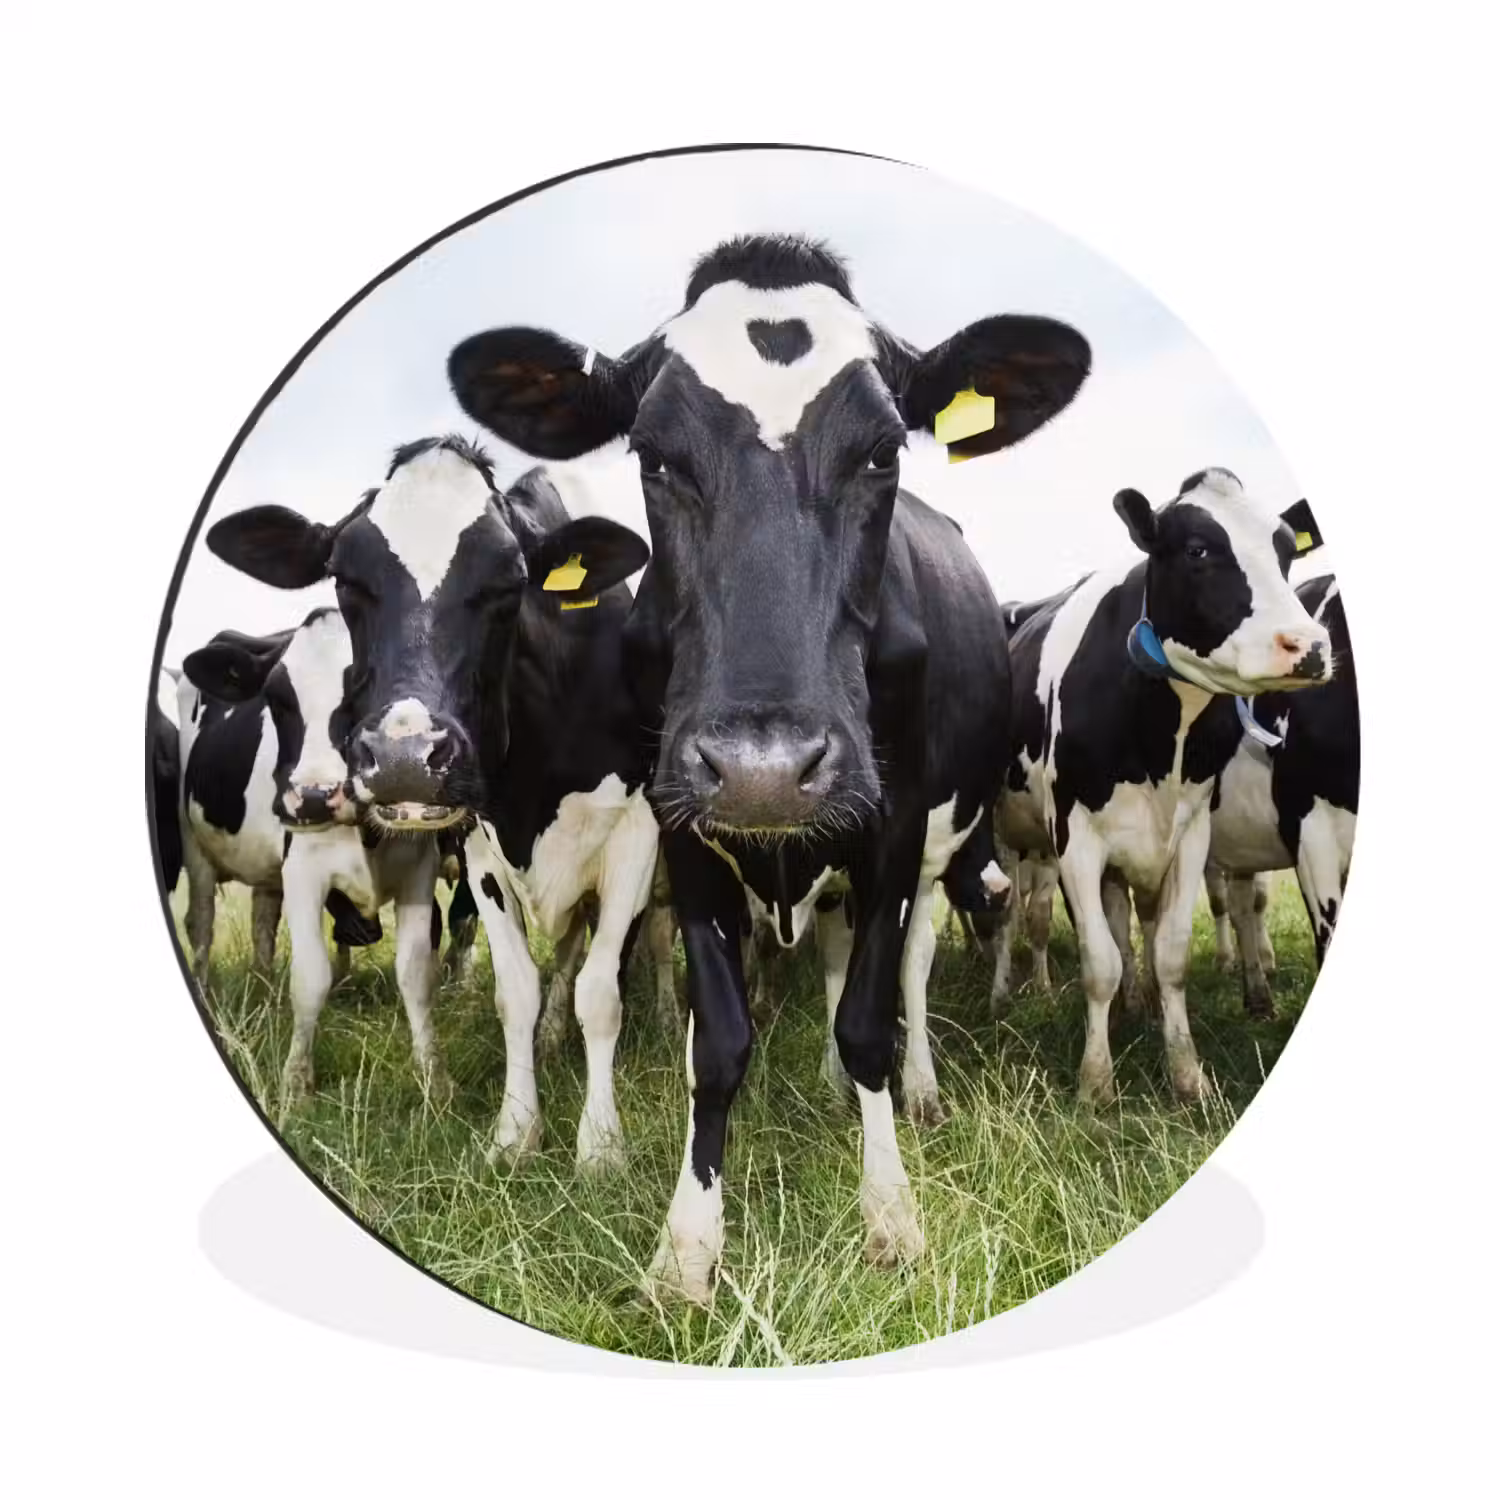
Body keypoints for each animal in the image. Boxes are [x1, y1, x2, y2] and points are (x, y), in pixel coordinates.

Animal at [203, 441, 657, 1171]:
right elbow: (515, 991)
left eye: (511, 580)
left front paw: (600, 1146)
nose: (404, 758)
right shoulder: (479, 847)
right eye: (344, 577)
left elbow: (601, 991)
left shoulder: (637, 839)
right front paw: (515, 1132)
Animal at [446, 232, 1090, 1302]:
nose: (764, 769)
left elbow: (869, 1018)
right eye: (653, 455)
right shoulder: (680, 827)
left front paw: (891, 1216)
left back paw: (910, 1092)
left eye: (883, 450)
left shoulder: (894, 825)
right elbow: (718, 1040)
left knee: (906, 970)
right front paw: (687, 1248)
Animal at [999, 467, 1330, 1105]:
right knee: (1011, 915)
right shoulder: (1074, 837)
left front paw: (1186, 1072)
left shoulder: (1191, 832)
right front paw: (1096, 1084)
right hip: (1008, 837)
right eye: (1198, 550)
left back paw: (1140, 1004)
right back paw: (1006, 990)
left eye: (1285, 551)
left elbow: (1169, 953)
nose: (1309, 646)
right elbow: (1098, 960)